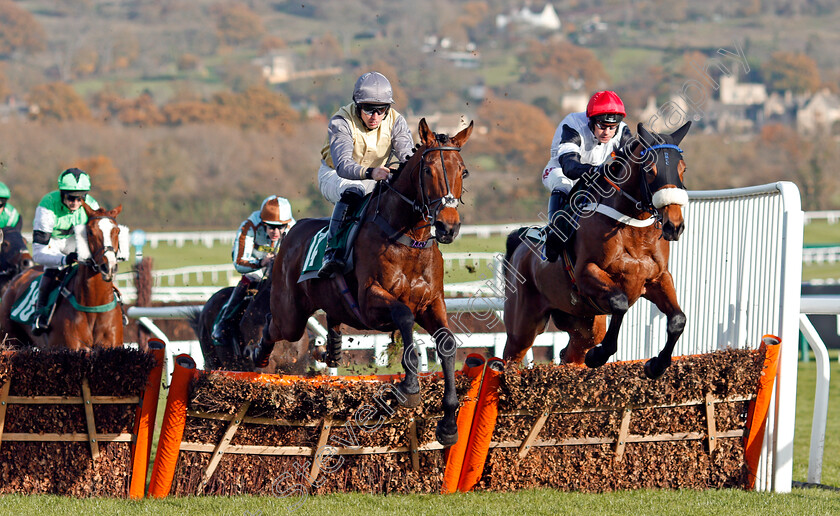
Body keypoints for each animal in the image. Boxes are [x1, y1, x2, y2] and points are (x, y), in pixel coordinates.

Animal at [248, 118, 472, 448]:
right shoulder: (370, 302)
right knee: (272, 324)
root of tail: (292, 232)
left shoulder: (432, 303)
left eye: (463, 171)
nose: (448, 226)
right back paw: (259, 355)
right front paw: (409, 387)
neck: (408, 240)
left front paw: (447, 423)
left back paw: (333, 348)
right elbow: (404, 317)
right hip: (290, 314)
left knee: (330, 319)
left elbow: (446, 342)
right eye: (428, 170)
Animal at [506, 121, 688, 378]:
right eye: (651, 170)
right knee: (508, 358)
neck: (632, 228)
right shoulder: (587, 273)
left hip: (582, 324)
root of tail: (520, 245)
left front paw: (657, 364)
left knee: (570, 354)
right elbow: (620, 303)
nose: (674, 225)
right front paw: (600, 355)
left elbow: (678, 319)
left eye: (683, 169)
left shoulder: (658, 279)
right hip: (523, 325)